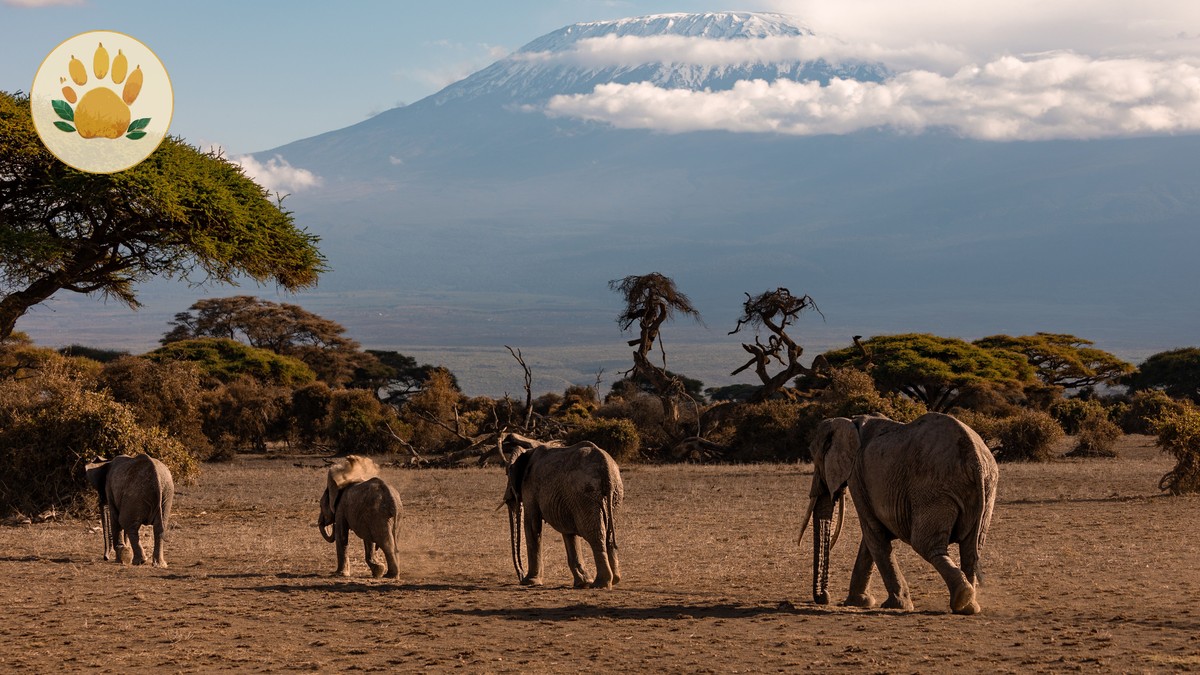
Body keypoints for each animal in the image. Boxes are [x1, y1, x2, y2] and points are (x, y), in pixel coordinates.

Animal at [501, 433, 623, 589]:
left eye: (507, 473)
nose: (521, 577)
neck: (530, 447)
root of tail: (605, 464)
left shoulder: (530, 487)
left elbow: (532, 525)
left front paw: (530, 582)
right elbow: (568, 531)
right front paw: (582, 583)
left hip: (585, 493)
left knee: (594, 534)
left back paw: (600, 584)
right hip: (614, 494)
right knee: (609, 533)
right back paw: (614, 580)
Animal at [800, 412, 998, 615]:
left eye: (816, 458)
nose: (824, 598)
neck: (849, 422)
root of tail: (974, 459)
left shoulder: (856, 476)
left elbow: (873, 533)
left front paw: (895, 605)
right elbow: (871, 538)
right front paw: (859, 602)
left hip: (933, 489)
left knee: (926, 544)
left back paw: (962, 598)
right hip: (986, 488)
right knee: (971, 548)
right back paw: (969, 606)